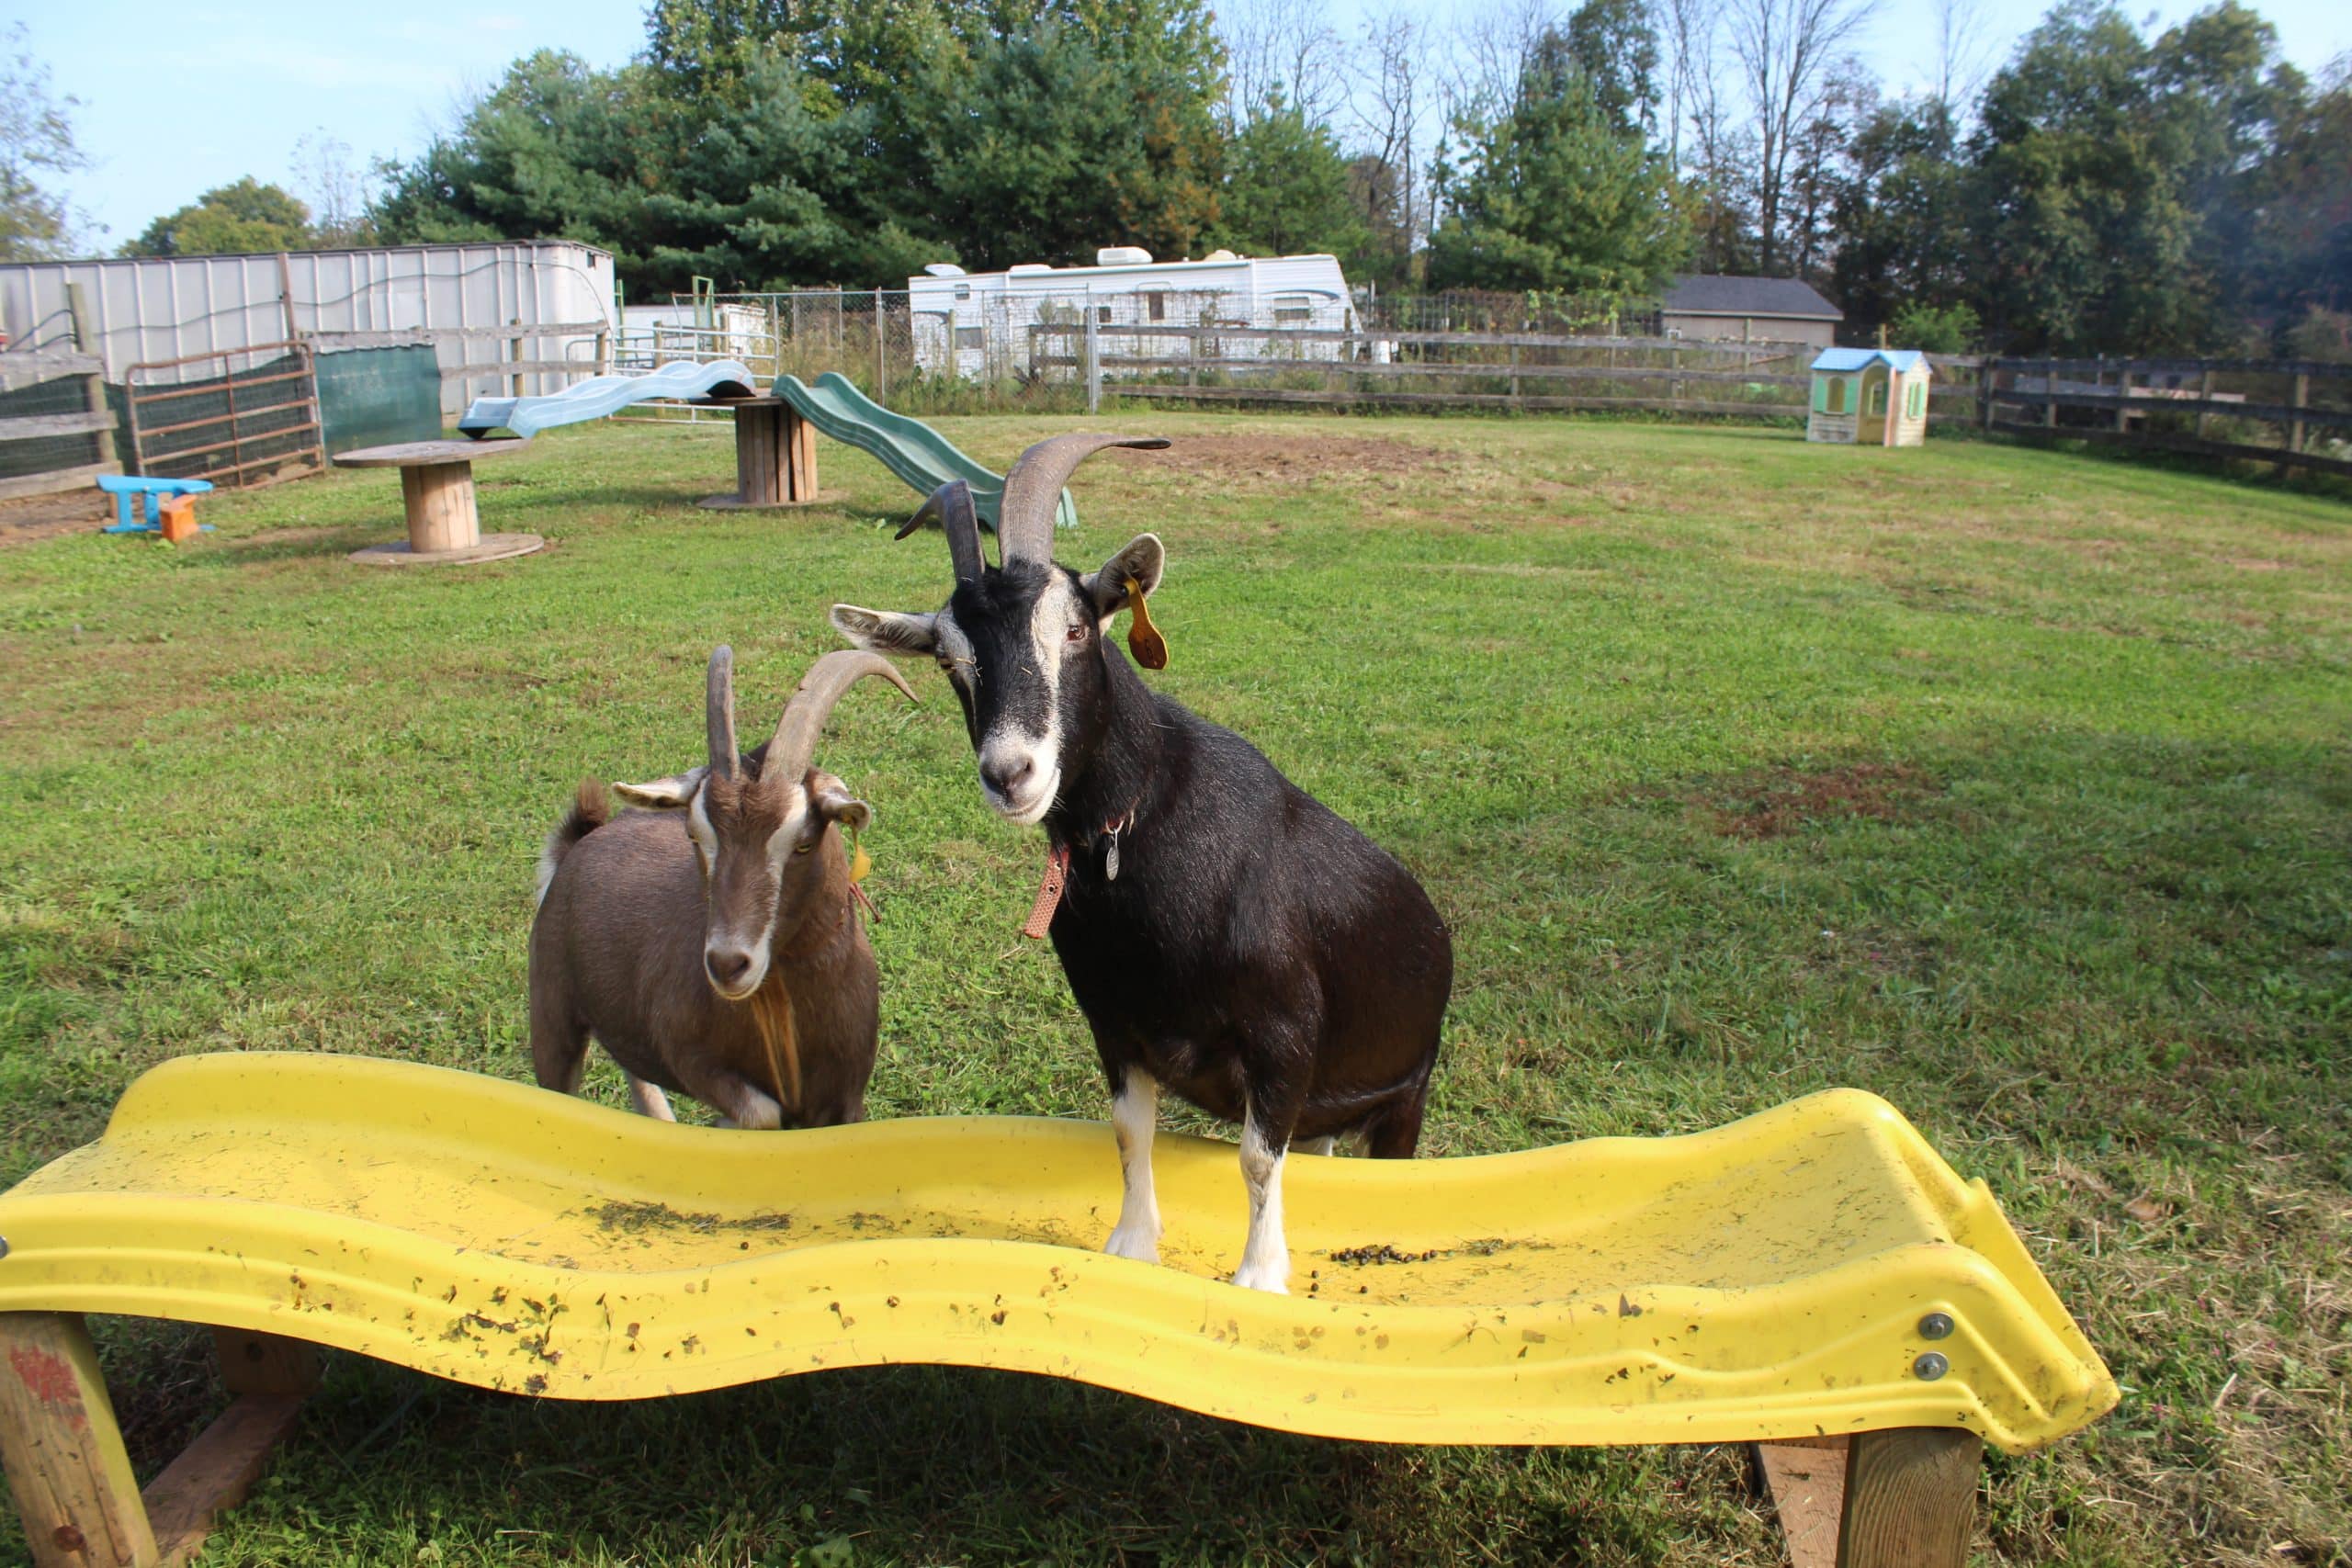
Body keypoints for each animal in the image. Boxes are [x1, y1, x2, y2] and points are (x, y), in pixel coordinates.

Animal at [529, 648, 916, 1129]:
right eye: (695, 835)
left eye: (803, 843)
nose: (728, 965)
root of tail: (577, 846)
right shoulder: (685, 1052)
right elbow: (761, 1113)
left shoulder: (846, 1100)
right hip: (552, 1016)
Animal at [831, 438, 1453, 1292]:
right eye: (951, 661)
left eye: (1075, 630)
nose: (1011, 773)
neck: (1146, 828)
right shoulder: (1115, 1020)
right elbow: (1130, 1131)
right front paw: (1133, 1244)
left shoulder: (1285, 1032)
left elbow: (1257, 1159)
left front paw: (1260, 1275)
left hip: (1405, 1091)